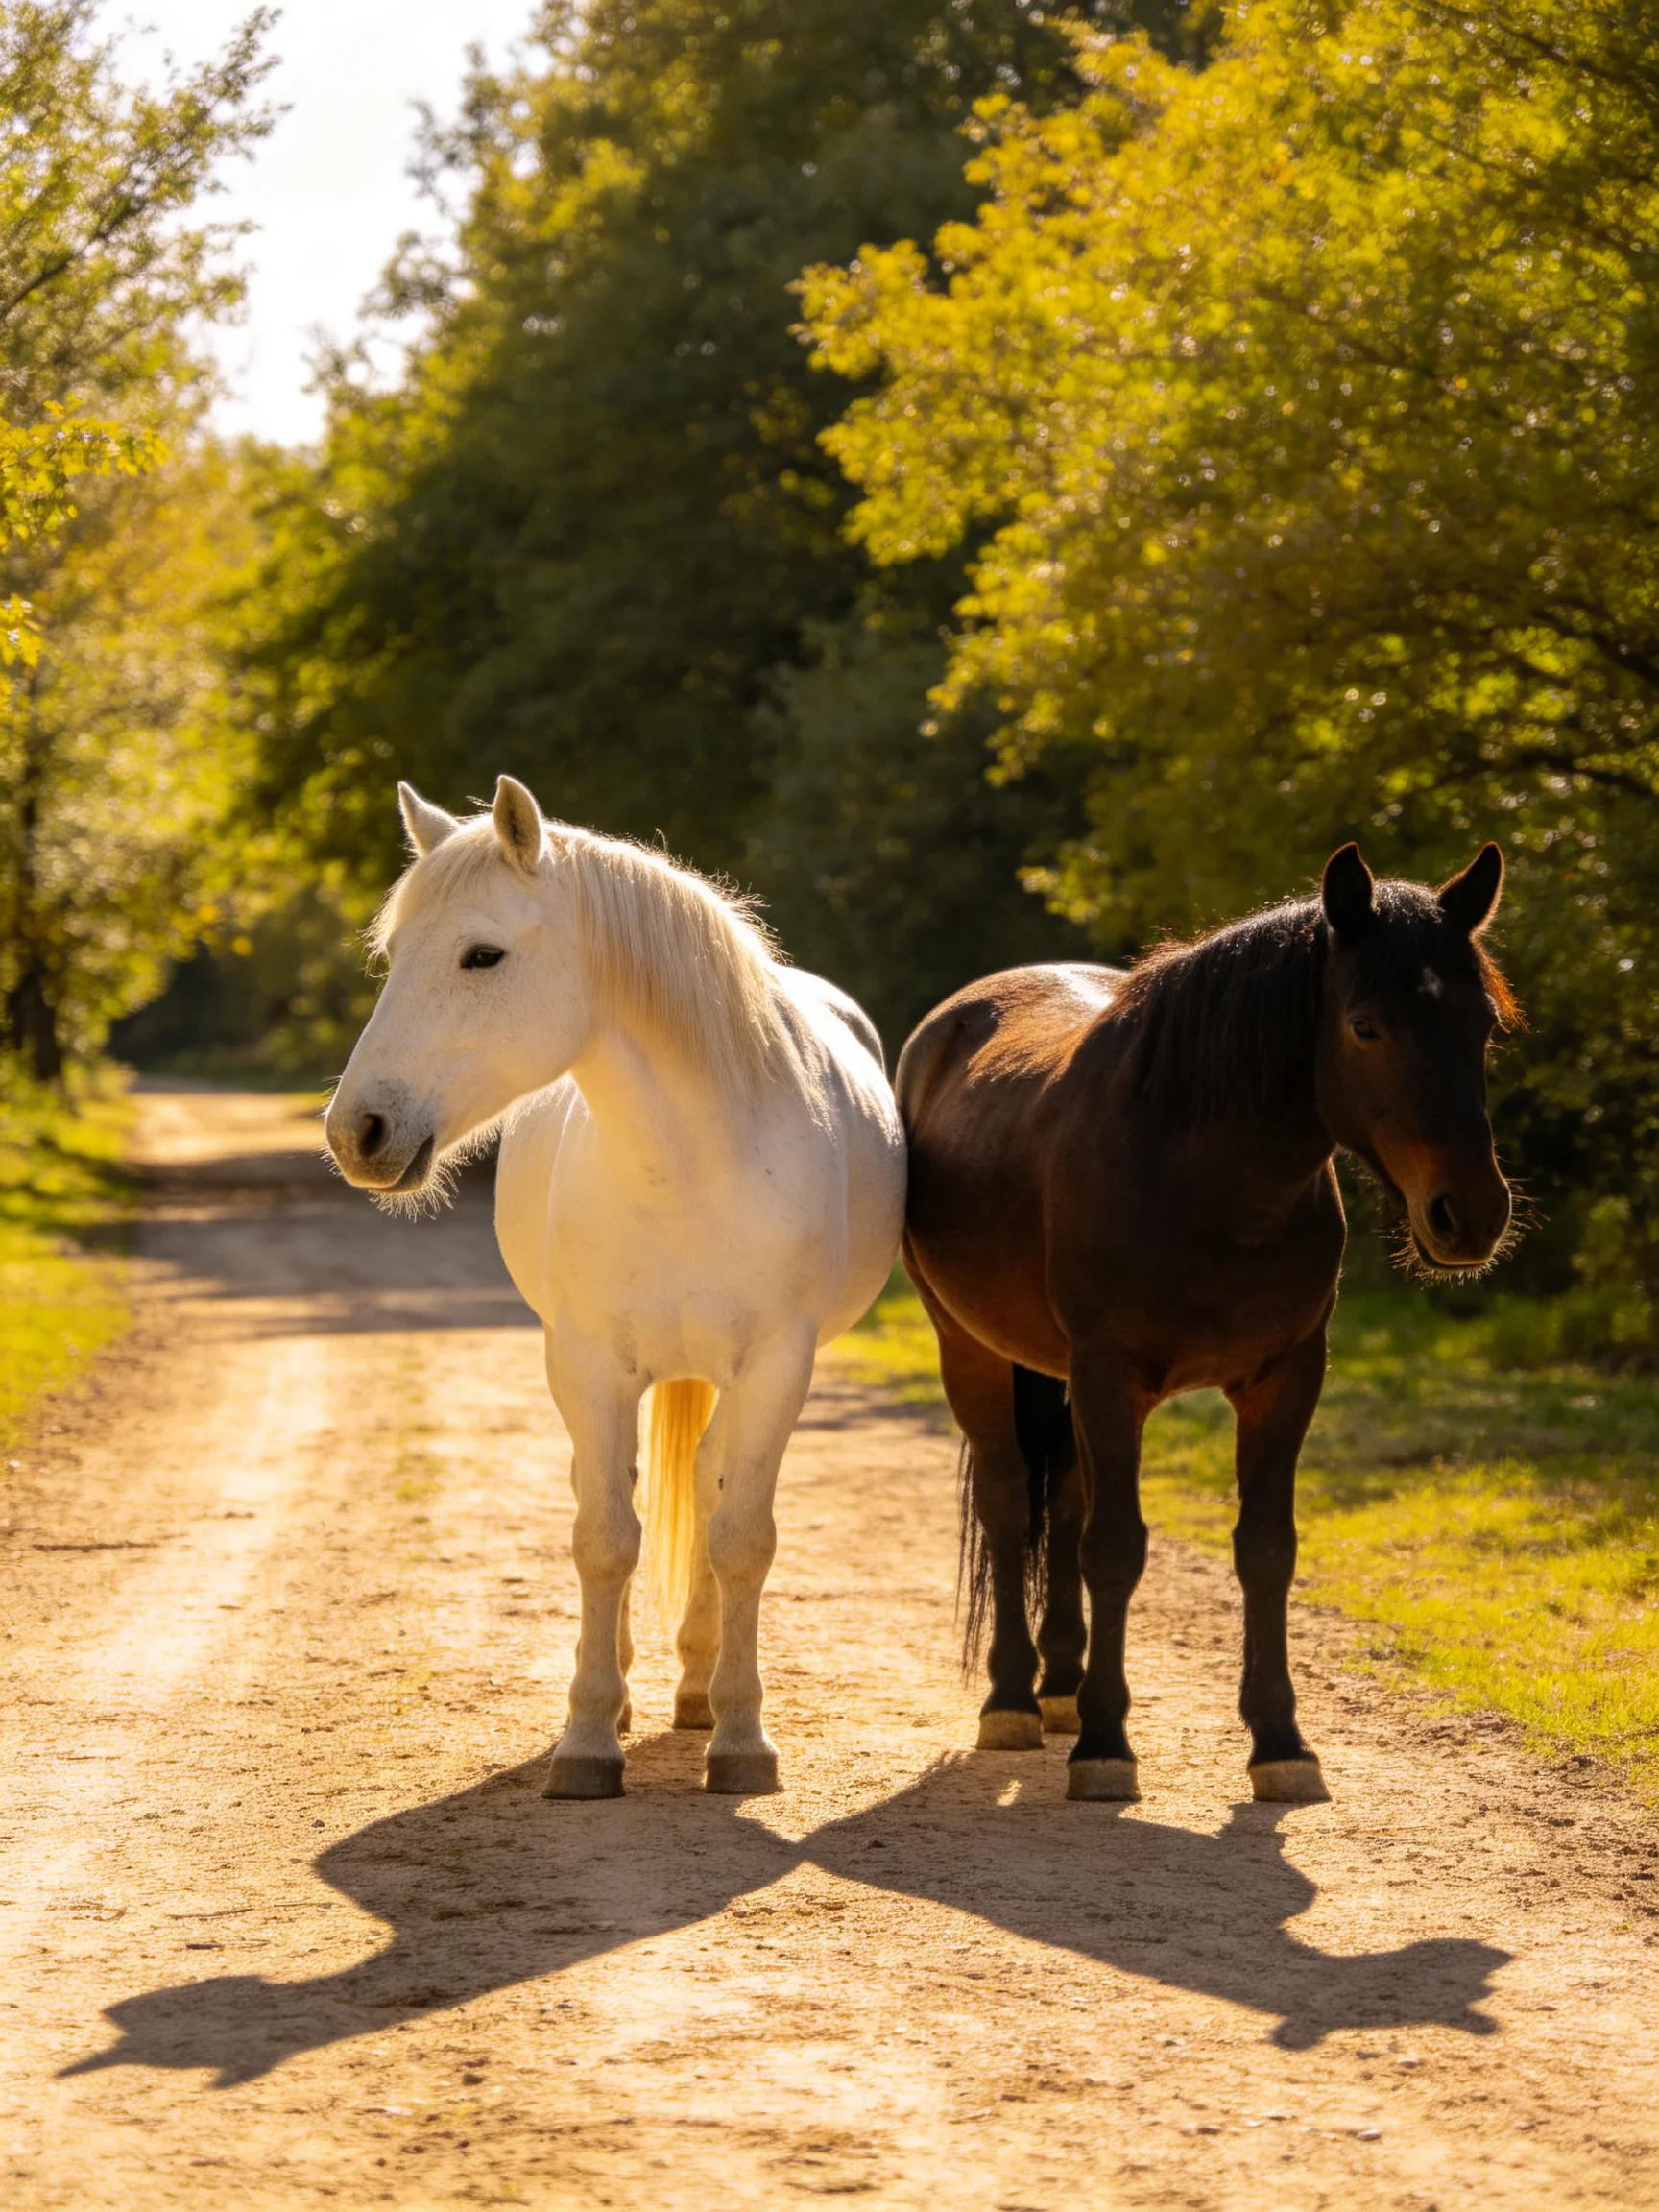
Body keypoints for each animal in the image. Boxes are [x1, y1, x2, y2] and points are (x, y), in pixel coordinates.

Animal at [325, 776, 905, 1798]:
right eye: (394, 957)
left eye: (482, 954)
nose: (357, 1130)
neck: (691, 1164)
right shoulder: (588, 1366)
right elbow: (604, 1538)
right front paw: (590, 1736)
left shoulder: (777, 1367)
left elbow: (742, 1536)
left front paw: (742, 1739)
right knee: (622, 1499)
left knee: (709, 1492)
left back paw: (700, 1690)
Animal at [896, 842, 1516, 1804]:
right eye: (1366, 1025)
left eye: (1481, 1025)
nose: (1473, 1215)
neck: (1206, 1175)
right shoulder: (1110, 1373)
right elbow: (1116, 1547)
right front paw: (1106, 1747)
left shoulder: (1284, 1378)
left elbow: (1264, 1550)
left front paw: (1282, 1744)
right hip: (969, 1351)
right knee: (1008, 1502)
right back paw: (1013, 1701)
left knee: (1062, 1503)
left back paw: (1062, 1686)